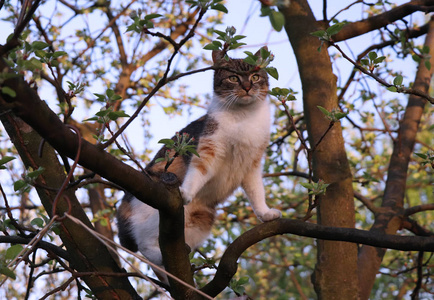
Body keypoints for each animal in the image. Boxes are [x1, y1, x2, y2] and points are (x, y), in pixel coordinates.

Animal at [117, 47, 284, 284]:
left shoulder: (252, 164)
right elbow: (198, 172)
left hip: (201, 220)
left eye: (255, 76)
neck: (244, 118)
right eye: (233, 78)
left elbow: (256, 192)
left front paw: (266, 213)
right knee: (145, 245)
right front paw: (186, 191)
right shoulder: (207, 150)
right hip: (155, 213)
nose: (247, 87)